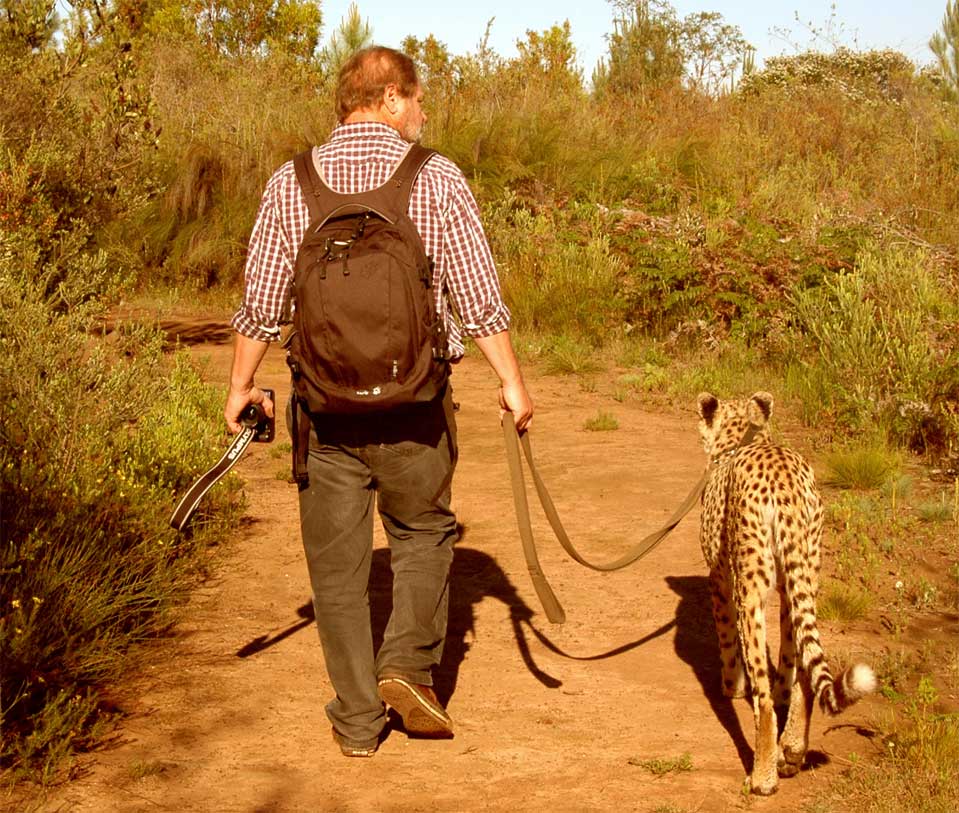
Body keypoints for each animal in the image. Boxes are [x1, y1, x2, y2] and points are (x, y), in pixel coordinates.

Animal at [696, 392, 876, 792]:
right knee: (806, 670)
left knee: (763, 702)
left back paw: (764, 774)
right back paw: (792, 749)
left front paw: (732, 686)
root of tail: (783, 479)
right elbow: (791, 657)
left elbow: (728, 640)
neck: (742, 440)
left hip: (751, 588)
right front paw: (781, 691)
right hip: (806, 573)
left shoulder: (721, 579)